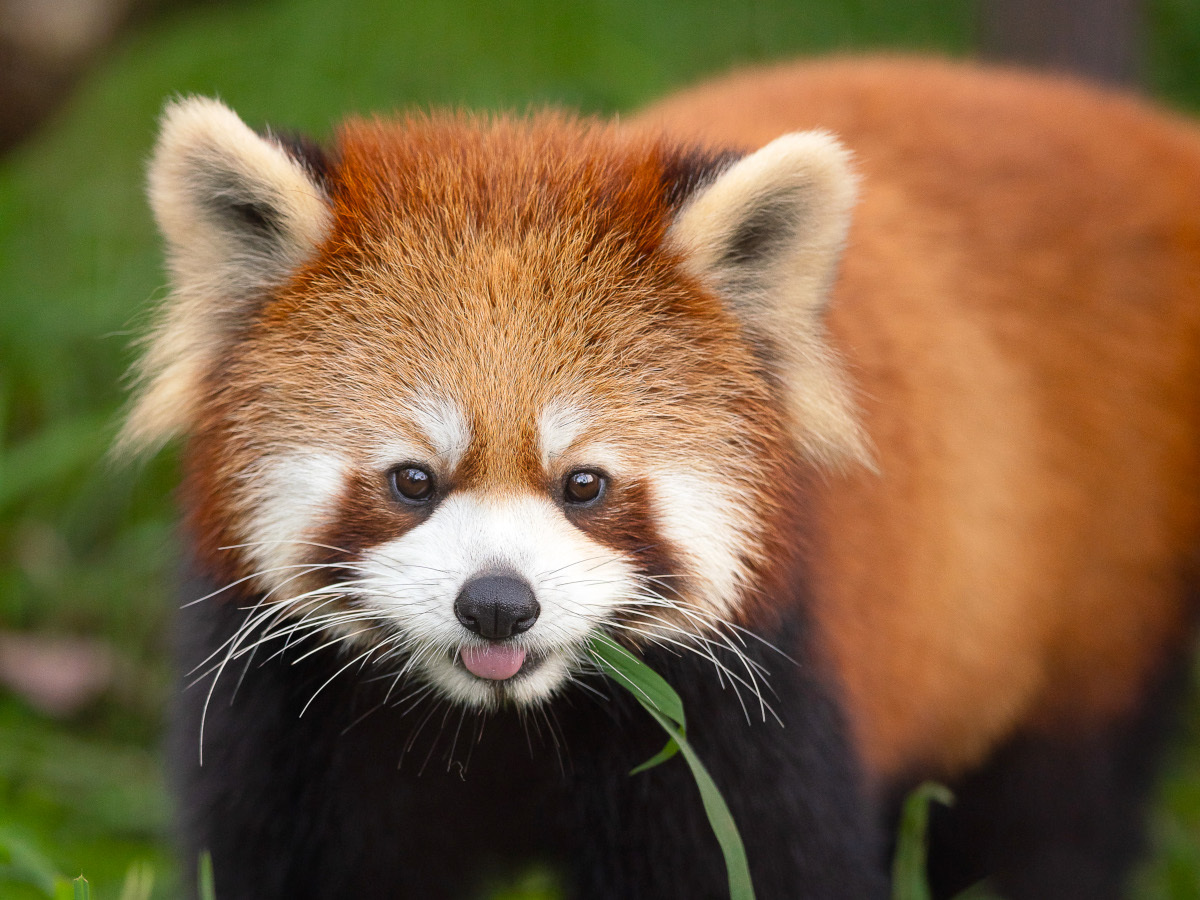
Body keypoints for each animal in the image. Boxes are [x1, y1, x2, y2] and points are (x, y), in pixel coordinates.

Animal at [121, 58, 1200, 900]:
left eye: (585, 485)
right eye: (412, 480)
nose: (498, 604)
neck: (503, 723)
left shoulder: (745, 705)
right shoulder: (301, 718)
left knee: (1057, 813)